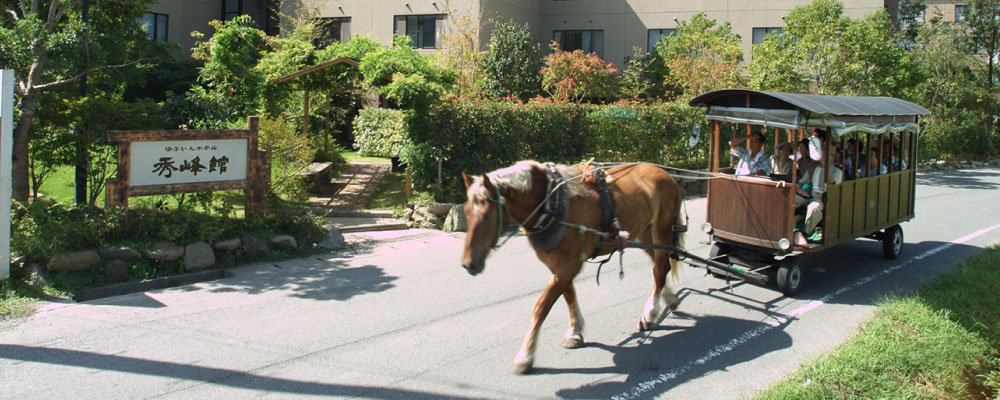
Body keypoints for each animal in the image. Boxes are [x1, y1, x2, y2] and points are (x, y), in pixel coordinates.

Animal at [460, 160, 688, 376]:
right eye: (466, 212)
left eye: (487, 215)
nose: (468, 263)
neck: (551, 204)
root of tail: (667, 175)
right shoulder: (558, 265)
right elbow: (568, 294)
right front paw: (575, 332)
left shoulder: (570, 264)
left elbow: (542, 306)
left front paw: (525, 355)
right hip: (644, 232)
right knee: (660, 264)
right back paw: (669, 298)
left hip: (661, 229)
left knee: (659, 268)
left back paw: (649, 313)